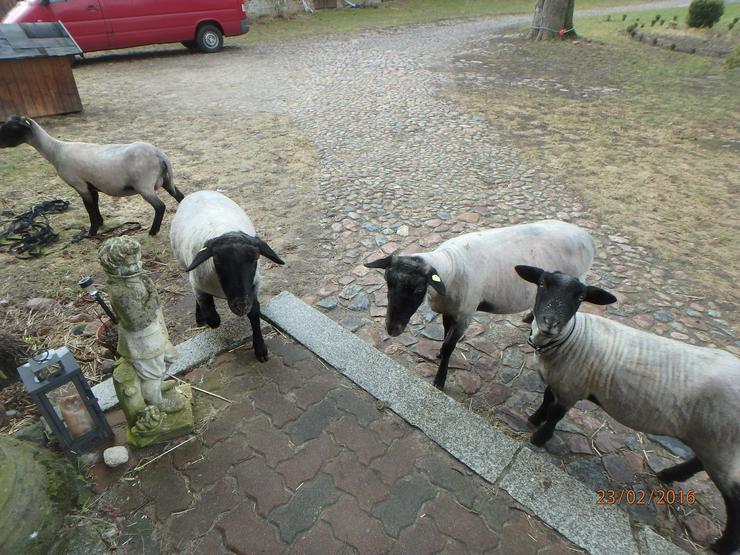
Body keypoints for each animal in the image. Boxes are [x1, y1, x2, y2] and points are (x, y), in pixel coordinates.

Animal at [0, 116, 184, 236]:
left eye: (12, 128)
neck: (55, 150)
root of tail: (159, 155)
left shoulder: (80, 185)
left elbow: (89, 208)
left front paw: (92, 232)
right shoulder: (92, 185)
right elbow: (95, 205)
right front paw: (101, 224)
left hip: (144, 185)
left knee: (160, 206)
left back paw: (153, 231)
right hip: (167, 180)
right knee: (180, 196)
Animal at [169, 192, 284, 364]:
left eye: (256, 258)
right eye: (217, 261)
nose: (241, 305)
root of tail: (198, 192)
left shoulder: (253, 286)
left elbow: (255, 312)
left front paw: (260, 349)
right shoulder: (198, 284)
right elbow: (212, 317)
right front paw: (208, 318)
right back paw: (200, 317)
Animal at [364, 219, 596, 388]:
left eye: (418, 290)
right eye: (387, 281)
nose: (392, 329)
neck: (451, 268)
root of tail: (586, 236)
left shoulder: (465, 315)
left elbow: (449, 346)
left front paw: (440, 380)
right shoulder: (450, 310)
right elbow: (445, 336)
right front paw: (438, 355)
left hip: (576, 280)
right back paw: (529, 317)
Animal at [516, 266, 740, 555]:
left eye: (580, 297)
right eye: (542, 283)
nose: (549, 322)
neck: (571, 339)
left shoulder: (573, 387)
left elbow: (556, 414)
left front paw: (539, 437)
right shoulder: (559, 381)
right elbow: (545, 399)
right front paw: (534, 419)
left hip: (721, 441)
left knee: (733, 497)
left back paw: (723, 545)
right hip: (712, 439)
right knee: (699, 462)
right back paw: (669, 475)